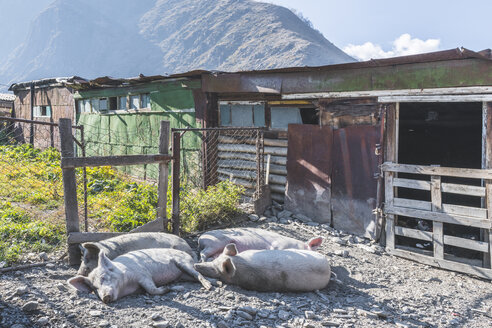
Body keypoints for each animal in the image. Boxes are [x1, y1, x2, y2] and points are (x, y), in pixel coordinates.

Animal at [67, 250, 211, 304]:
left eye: (103, 277)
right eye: (94, 288)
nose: (105, 297)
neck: (127, 287)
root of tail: (189, 255)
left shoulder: (143, 274)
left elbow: (151, 289)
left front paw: (169, 288)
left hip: (184, 263)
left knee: (198, 274)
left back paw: (208, 287)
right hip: (184, 274)